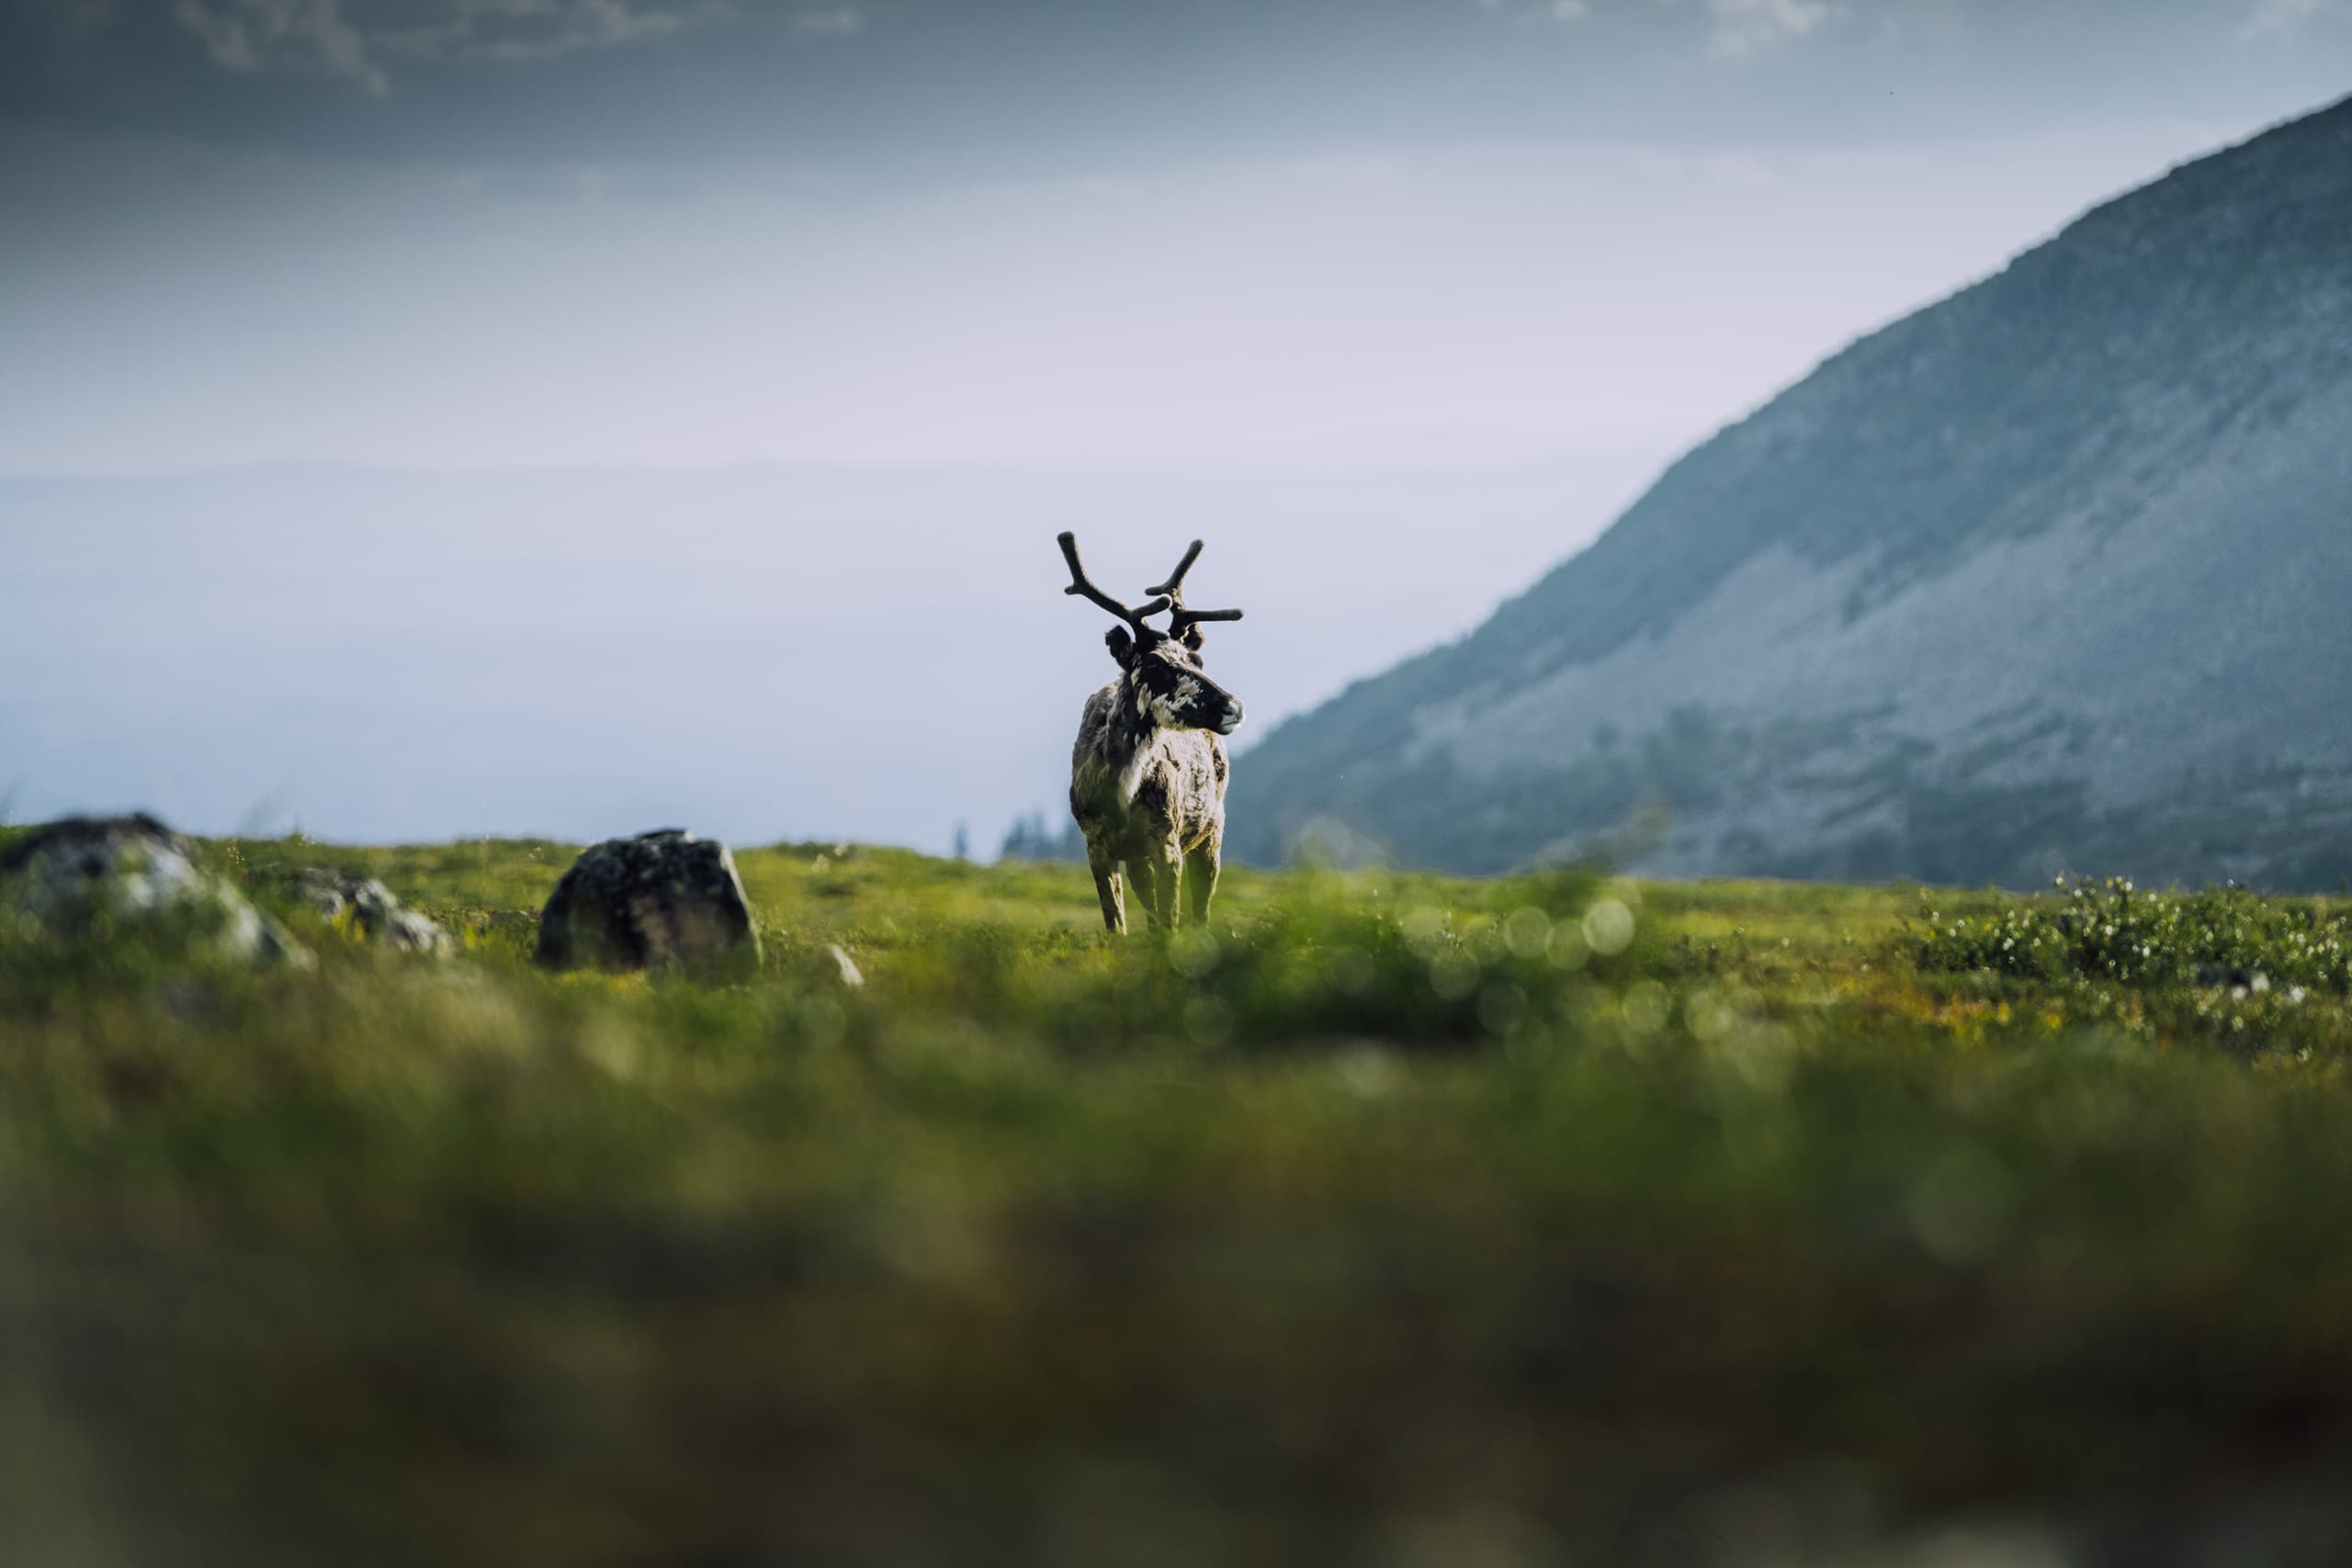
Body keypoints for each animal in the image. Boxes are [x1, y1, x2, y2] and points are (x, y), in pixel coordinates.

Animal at [1058, 531, 1246, 934]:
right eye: (1156, 665)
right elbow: (1118, 928)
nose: (1234, 705)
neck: (1118, 797)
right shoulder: (1097, 847)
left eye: (1196, 661)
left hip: (1212, 831)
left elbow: (1170, 924)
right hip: (1140, 860)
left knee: (1201, 911)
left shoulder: (1167, 843)